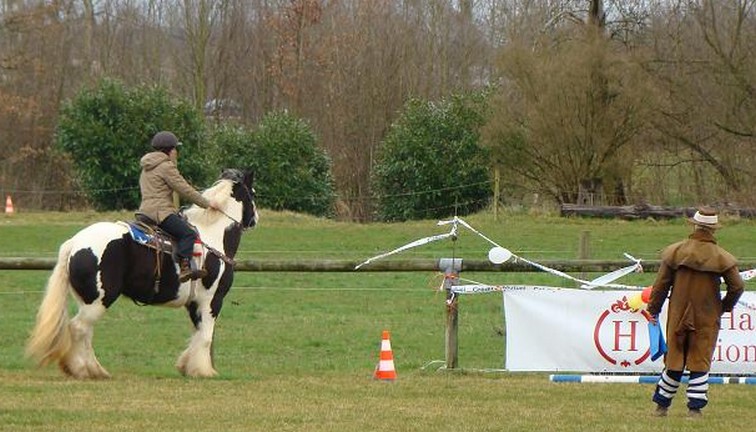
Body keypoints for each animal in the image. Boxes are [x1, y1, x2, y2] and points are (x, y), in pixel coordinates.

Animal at [26, 169, 258, 378]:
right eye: (253, 193)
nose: (255, 218)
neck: (212, 236)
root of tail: (74, 243)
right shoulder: (211, 300)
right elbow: (206, 337)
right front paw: (204, 371)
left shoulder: (194, 304)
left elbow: (197, 334)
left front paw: (187, 366)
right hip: (99, 301)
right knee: (78, 329)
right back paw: (84, 370)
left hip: (89, 302)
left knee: (85, 332)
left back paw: (93, 370)